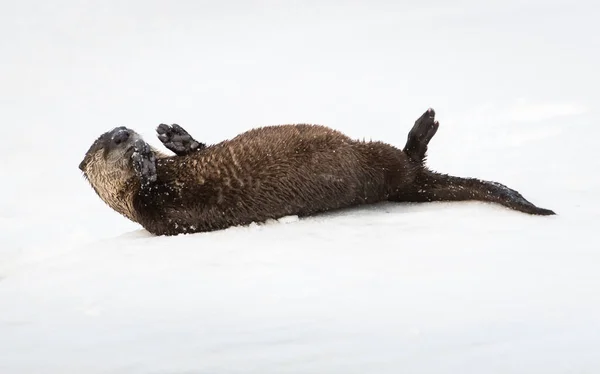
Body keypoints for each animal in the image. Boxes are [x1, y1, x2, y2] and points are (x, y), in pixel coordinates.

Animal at [77, 108, 556, 235]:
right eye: (106, 145)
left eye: (115, 129)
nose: (125, 133)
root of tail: (409, 186)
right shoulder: (158, 211)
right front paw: (143, 161)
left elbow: (199, 147)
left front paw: (170, 135)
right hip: (379, 162)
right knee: (409, 157)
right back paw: (424, 125)